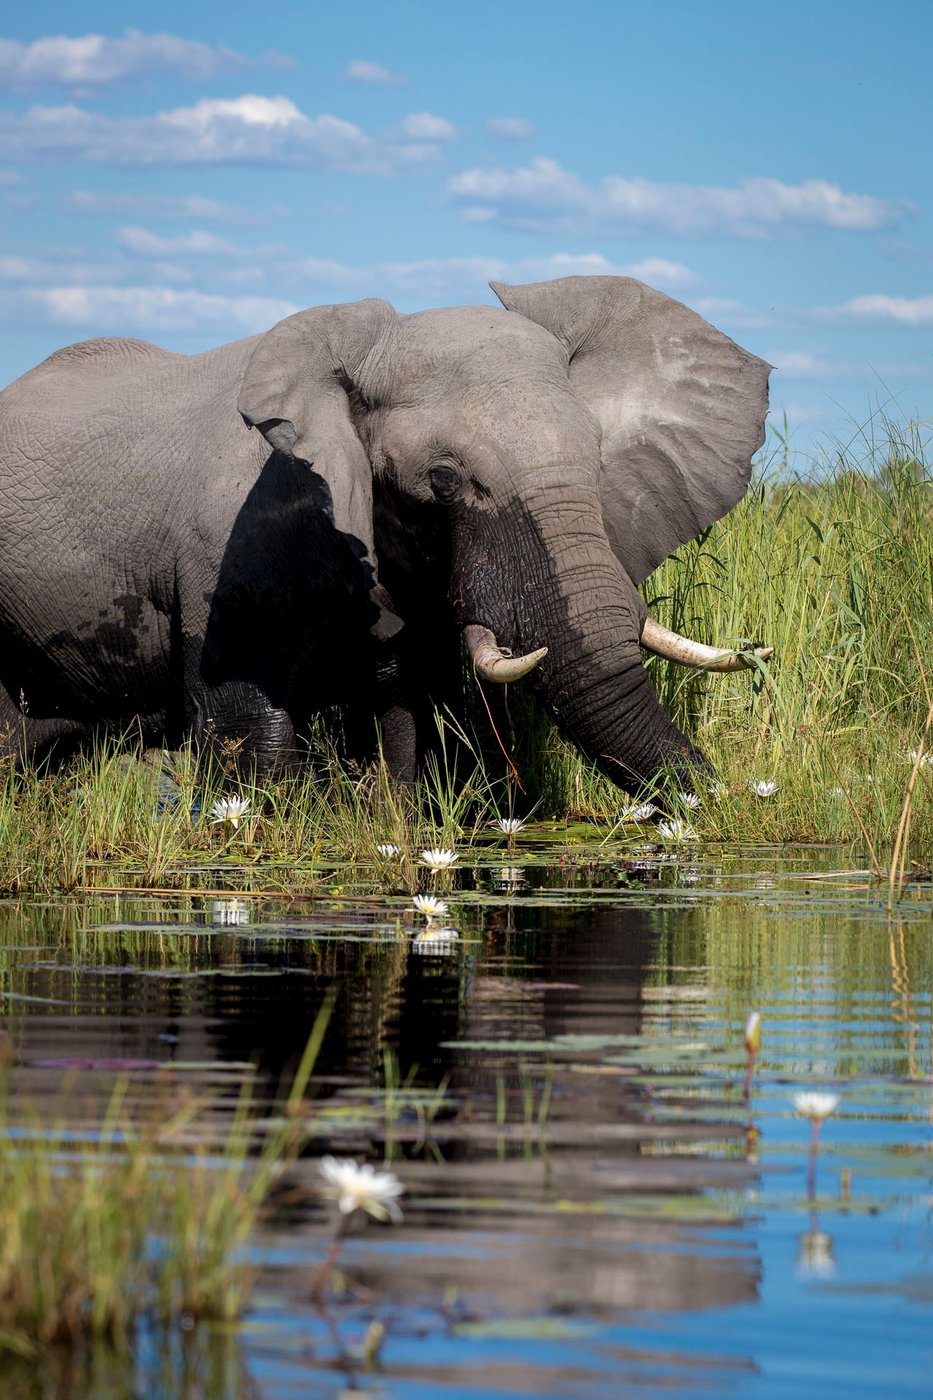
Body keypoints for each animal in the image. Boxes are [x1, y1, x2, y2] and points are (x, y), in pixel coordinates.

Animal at [0, 275, 770, 791]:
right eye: (444, 479)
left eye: (599, 458)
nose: (715, 806)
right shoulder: (232, 538)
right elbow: (248, 725)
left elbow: (405, 707)